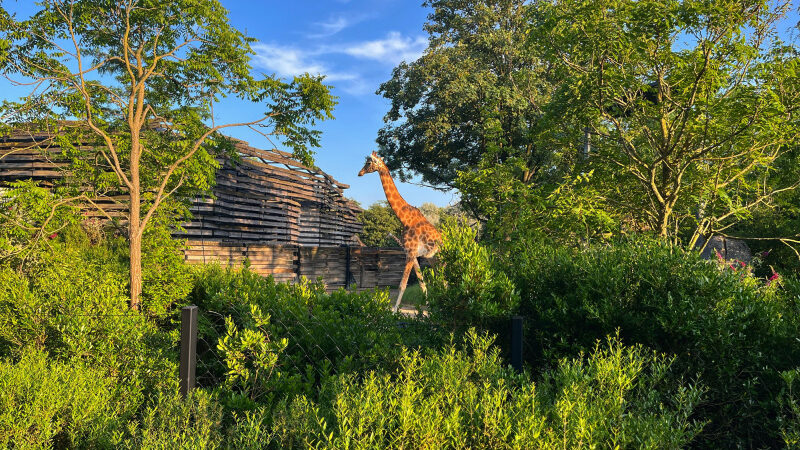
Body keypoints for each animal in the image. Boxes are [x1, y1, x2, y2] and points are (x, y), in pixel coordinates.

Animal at [360, 152, 440, 312]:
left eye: (368, 163)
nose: (360, 173)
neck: (405, 218)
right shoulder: (412, 254)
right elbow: (422, 283)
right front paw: (428, 306)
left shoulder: (410, 253)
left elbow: (402, 285)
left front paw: (394, 311)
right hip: (432, 258)